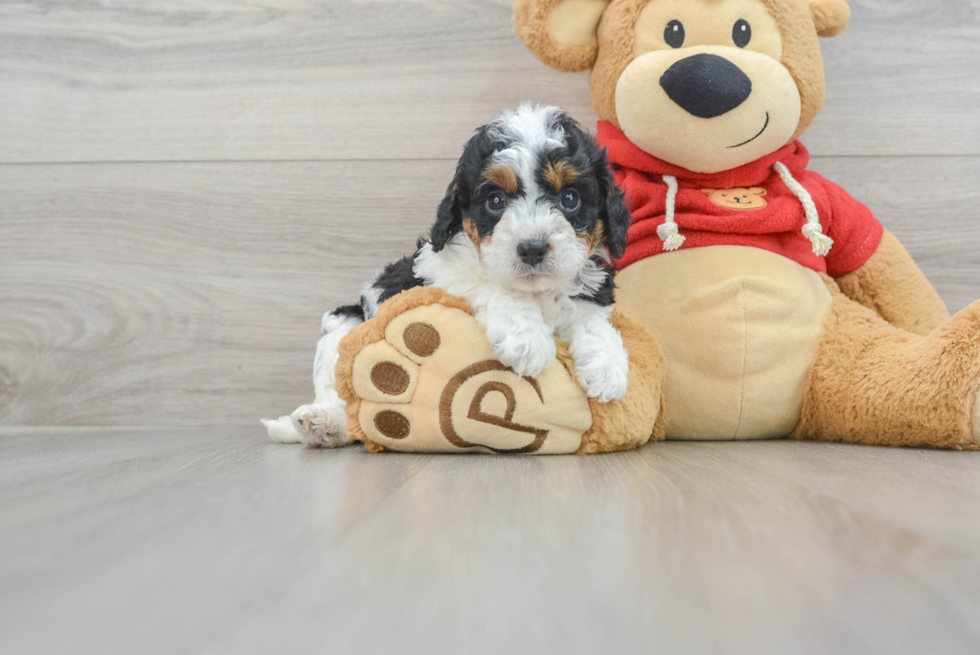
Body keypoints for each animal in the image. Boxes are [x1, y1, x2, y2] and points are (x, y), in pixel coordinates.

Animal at [266, 105, 636, 448]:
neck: (534, 289)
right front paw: (526, 339)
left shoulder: (589, 287)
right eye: (495, 200)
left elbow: (590, 318)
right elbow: (489, 285)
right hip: (344, 324)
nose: (532, 248)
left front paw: (607, 366)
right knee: (347, 403)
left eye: (570, 198)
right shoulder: (440, 270)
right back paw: (324, 422)